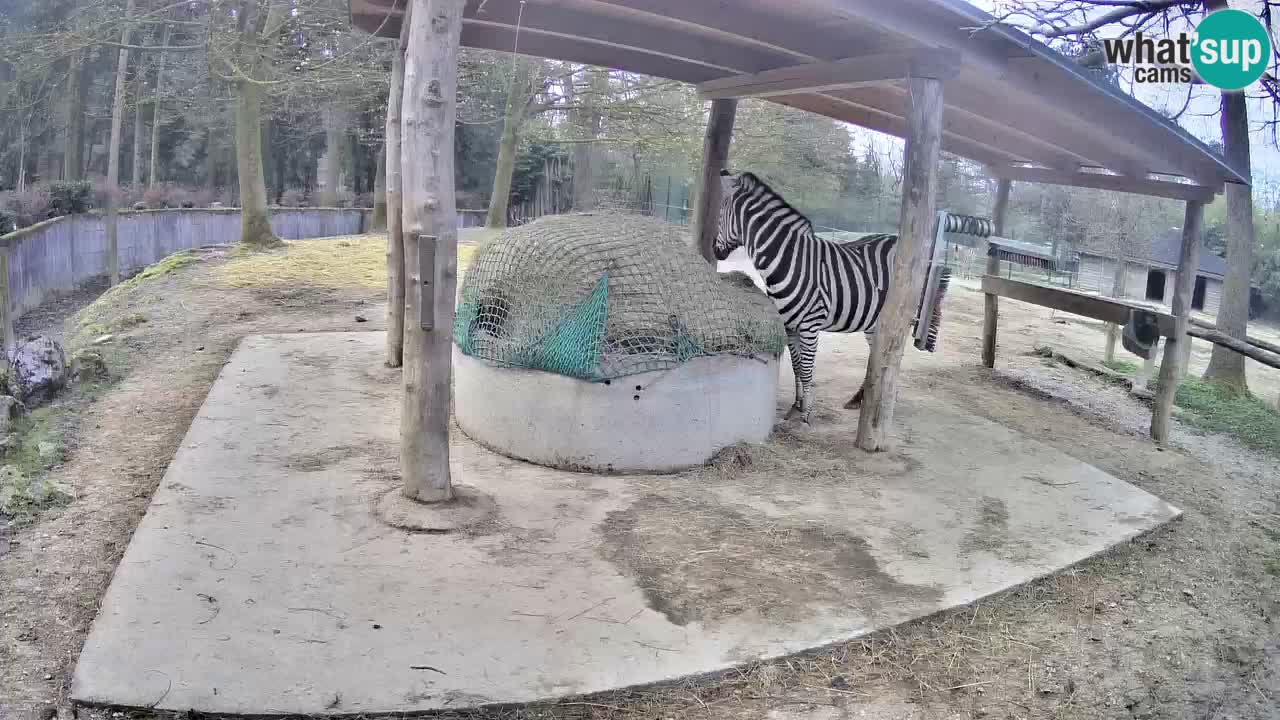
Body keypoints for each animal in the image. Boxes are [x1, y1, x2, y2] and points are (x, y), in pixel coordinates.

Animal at [713, 170, 949, 423]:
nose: (715, 251)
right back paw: (860, 399)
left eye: (720, 214)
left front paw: (806, 414)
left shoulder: (810, 325)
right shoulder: (790, 326)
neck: (788, 260)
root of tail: (900, 241)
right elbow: (797, 367)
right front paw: (795, 406)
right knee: (876, 358)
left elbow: (807, 369)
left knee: (890, 359)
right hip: (875, 322)